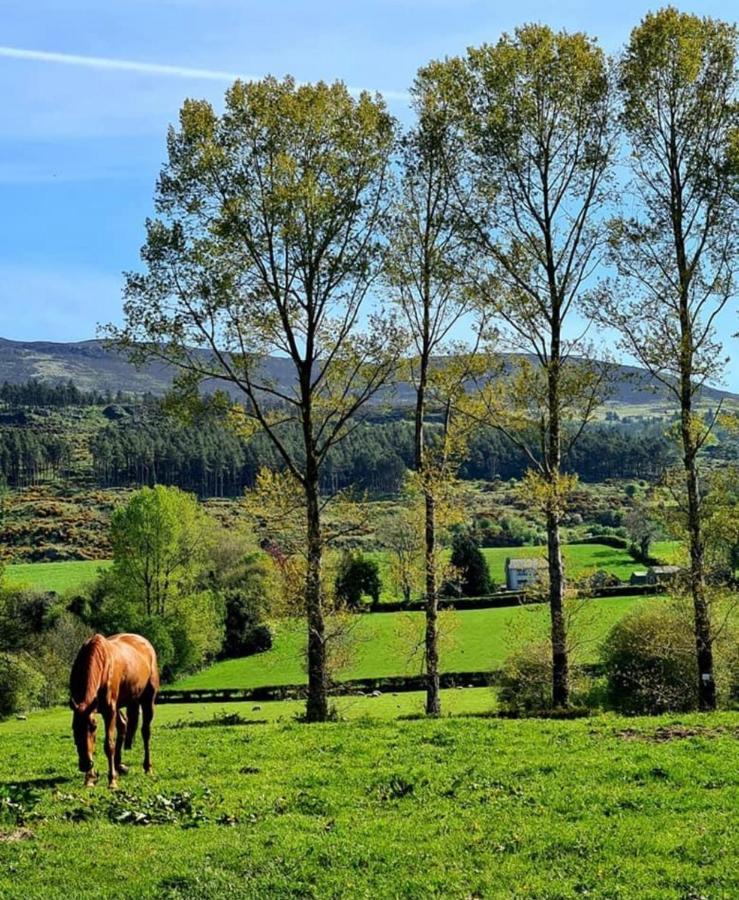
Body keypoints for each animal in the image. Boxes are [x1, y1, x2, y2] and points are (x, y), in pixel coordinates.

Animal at [69, 632, 159, 788]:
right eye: (74, 727)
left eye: (94, 727)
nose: (85, 764)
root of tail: (146, 643)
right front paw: (89, 779)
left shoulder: (109, 710)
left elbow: (108, 744)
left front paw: (112, 781)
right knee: (123, 725)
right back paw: (118, 766)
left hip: (147, 701)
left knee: (145, 732)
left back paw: (147, 767)